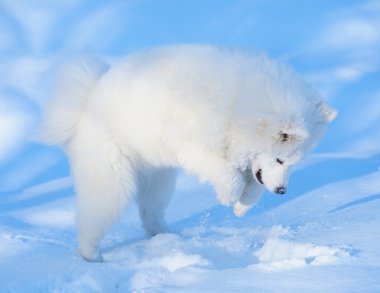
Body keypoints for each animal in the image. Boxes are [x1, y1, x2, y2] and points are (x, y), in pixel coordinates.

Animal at [37, 45, 336, 260]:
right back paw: (90, 254)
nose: (283, 192)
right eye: (280, 158)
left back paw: (166, 236)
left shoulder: (244, 160)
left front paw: (241, 207)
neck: (236, 107)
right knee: (93, 217)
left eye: (294, 163)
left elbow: (253, 186)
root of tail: (85, 105)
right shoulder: (196, 147)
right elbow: (231, 177)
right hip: (113, 181)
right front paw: (229, 197)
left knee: (149, 213)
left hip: (158, 179)